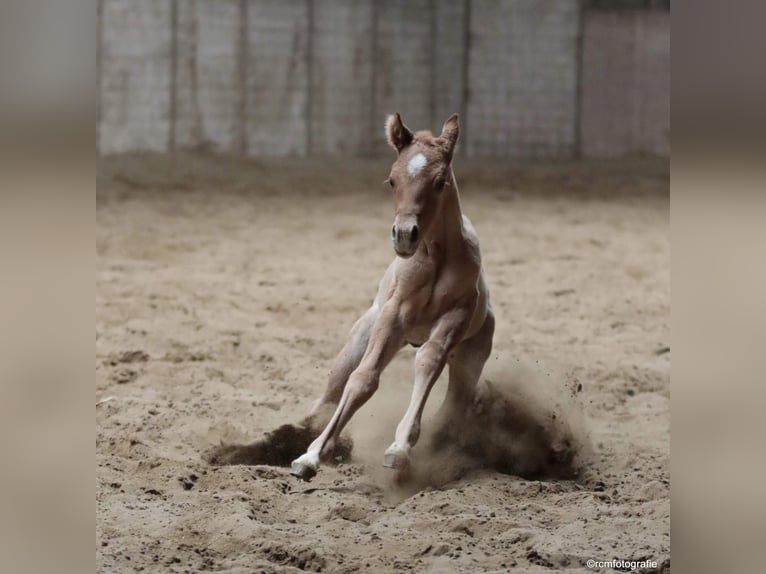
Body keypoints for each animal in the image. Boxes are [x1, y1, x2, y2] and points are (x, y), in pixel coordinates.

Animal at [292, 112, 496, 482]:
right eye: (391, 180)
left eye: (440, 181)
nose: (404, 235)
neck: (435, 257)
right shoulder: (394, 316)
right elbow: (362, 379)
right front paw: (311, 455)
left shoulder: (455, 318)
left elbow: (428, 361)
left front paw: (400, 448)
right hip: (361, 336)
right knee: (334, 386)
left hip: (470, 357)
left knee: (455, 402)